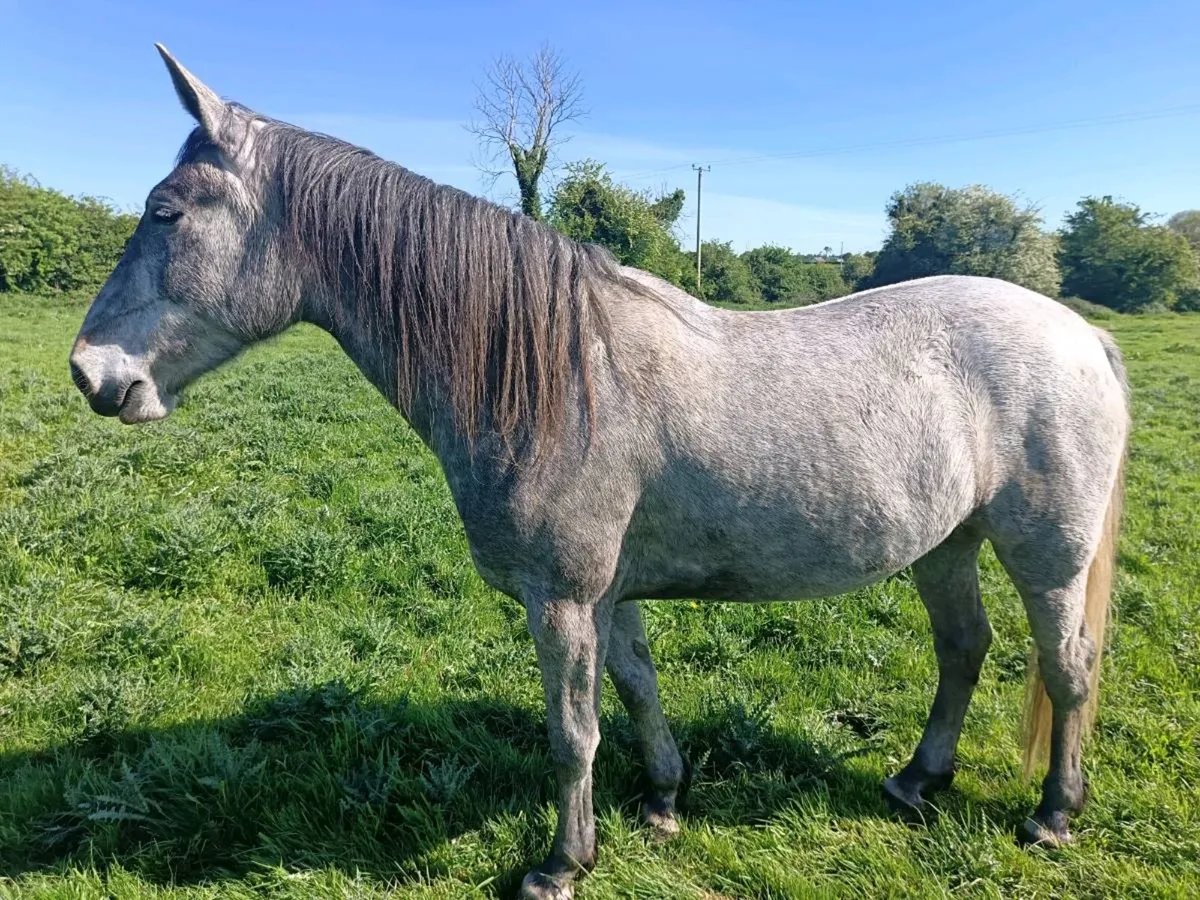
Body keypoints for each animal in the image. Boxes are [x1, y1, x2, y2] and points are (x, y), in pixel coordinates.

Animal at [69, 46, 1129, 899]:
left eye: (165, 211)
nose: (90, 373)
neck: (557, 374)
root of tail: (1082, 335)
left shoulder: (562, 600)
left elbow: (570, 729)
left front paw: (560, 863)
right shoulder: (609, 596)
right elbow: (637, 692)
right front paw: (662, 800)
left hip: (1047, 555)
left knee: (1068, 666)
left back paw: (1053, 813)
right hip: (946, 543)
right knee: (964, 648)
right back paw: (916, 779)